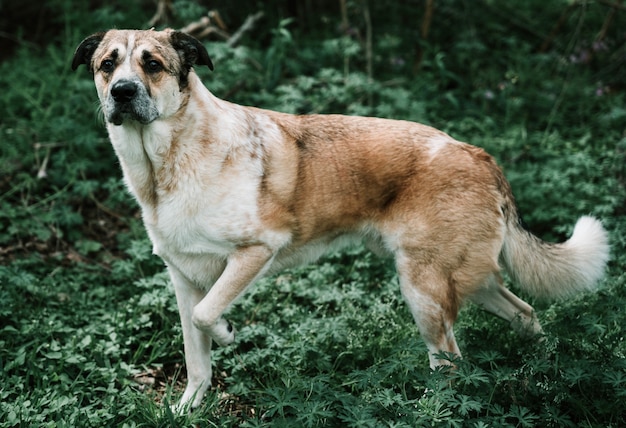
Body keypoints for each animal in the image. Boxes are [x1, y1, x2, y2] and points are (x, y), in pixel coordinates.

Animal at [70, 28, 608, 410]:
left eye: (153, 65)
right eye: (107, 64)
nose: (121, 92)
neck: (168, 163)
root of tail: (477, 155)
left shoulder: (255, 253)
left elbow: (208, 316)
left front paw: (228, 331)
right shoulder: (183, 278)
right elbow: (195, 353)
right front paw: (188, 408)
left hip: (424, 290)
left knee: (452, 363)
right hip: (465, 279)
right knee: (525, 313)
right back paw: (546, 370)